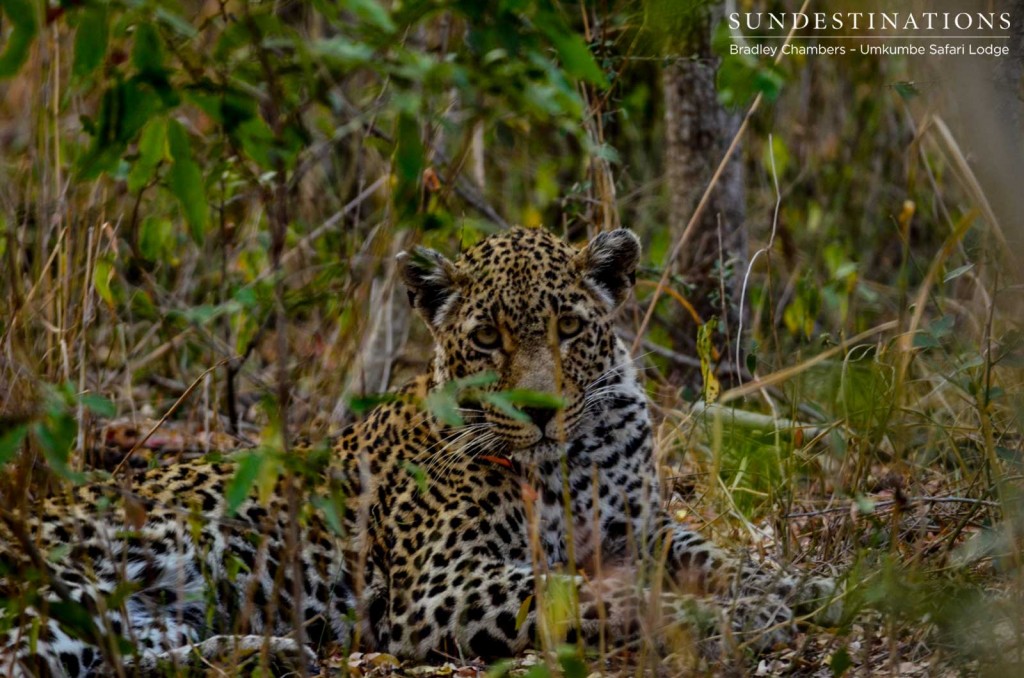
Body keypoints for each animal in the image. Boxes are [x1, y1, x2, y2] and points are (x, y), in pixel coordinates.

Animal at [0, 228, 839, 678]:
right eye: (488, 338)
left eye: (568, 328)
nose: (539, 412)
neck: (571, 460)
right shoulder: (441, 585)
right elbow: (594, 595)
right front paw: (737, 617)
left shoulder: (642, 529)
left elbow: (719, 557)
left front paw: (801, 585)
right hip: (71, 584)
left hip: (142, 615)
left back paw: (266, 650)